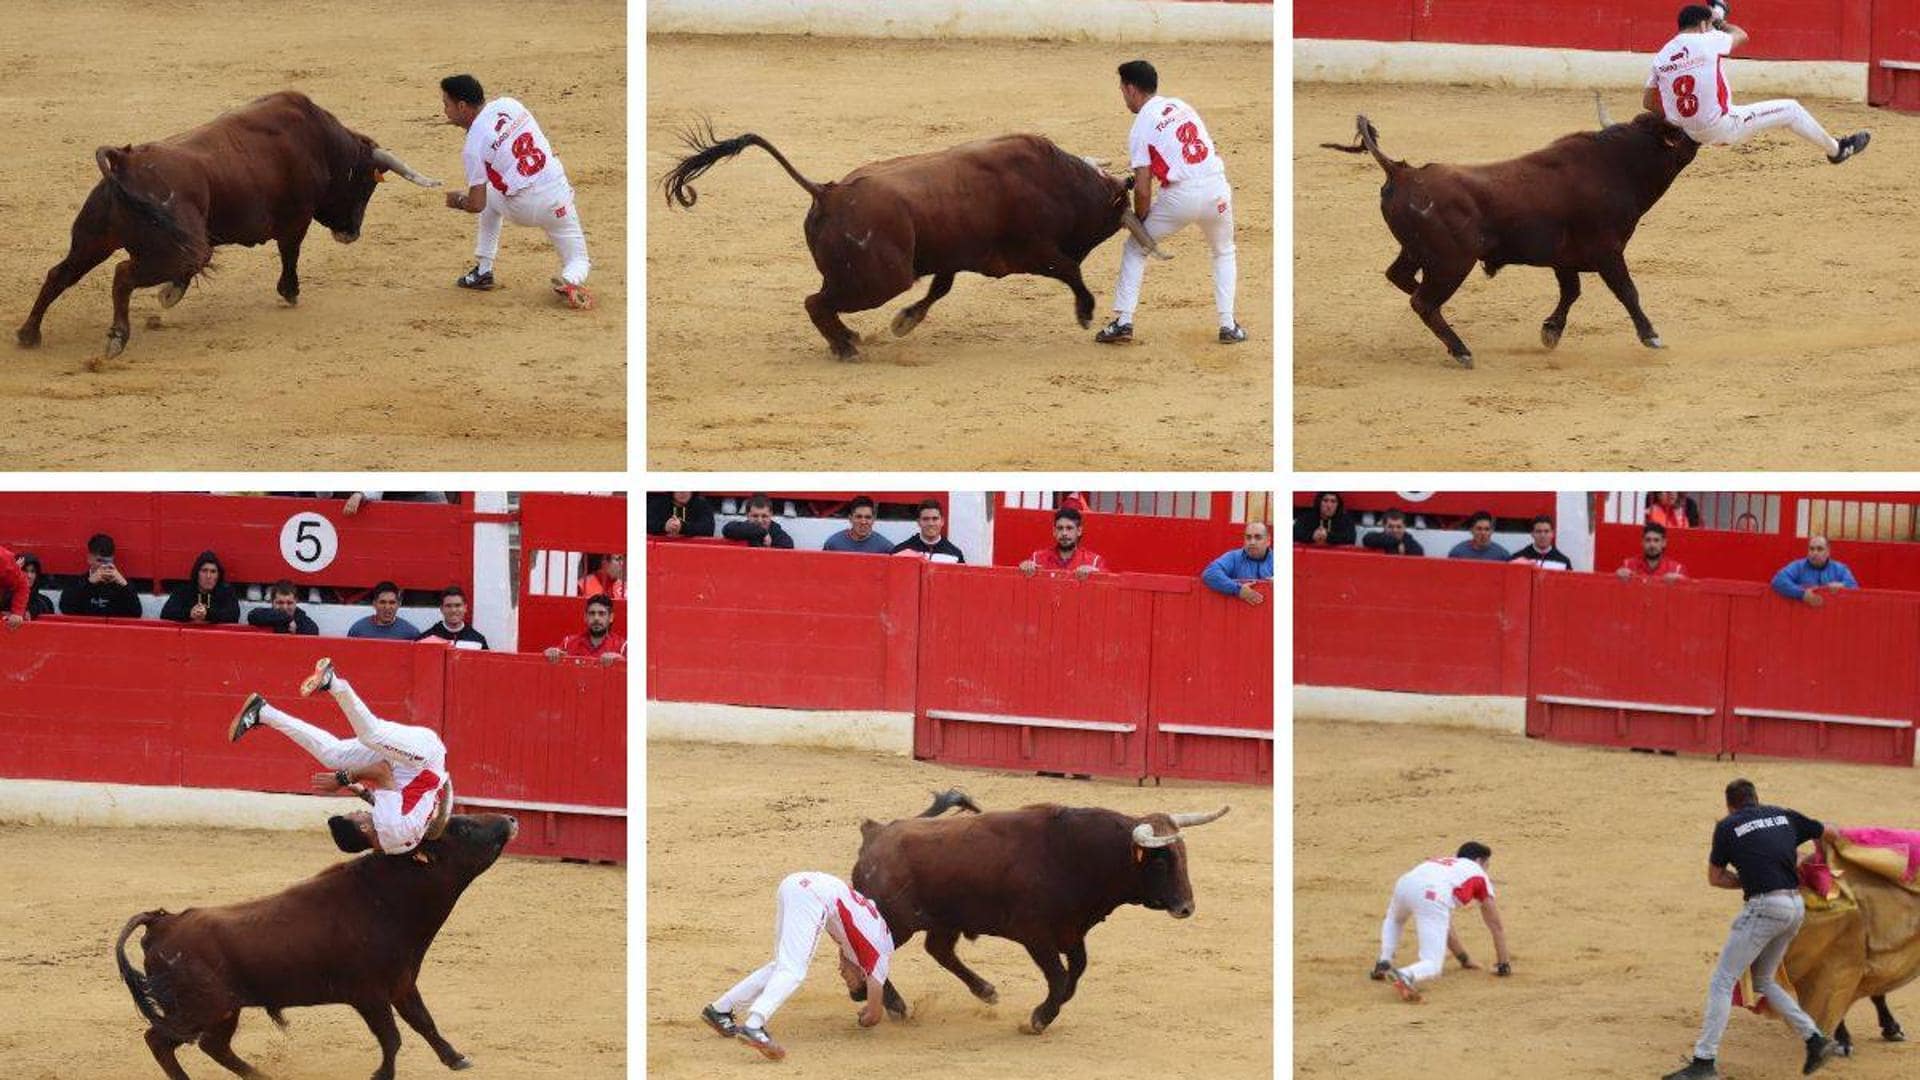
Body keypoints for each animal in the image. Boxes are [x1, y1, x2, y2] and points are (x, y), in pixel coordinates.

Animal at [18, 90, 439, 359]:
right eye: (367, 184)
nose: (351, 233)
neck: (320, 143)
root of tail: (125, 160)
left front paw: (170, 294)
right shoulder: (296, 218)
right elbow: (291, 252)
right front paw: (289, 292)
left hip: (94, 240)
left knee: (59, 274)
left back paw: (28, 333)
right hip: (163, 249)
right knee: (123, 274)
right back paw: (117, 337)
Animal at [116, 810, 514, 1068]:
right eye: (462, 827)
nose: (509, 820)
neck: (387, 898)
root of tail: (163, 922)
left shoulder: (402, 984)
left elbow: (424, 1023)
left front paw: (456, 1059)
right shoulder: (369, 995)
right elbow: (393, 1039)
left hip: (224, 1010)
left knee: (214, 1047)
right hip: (200, 1009)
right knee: (159, 1041)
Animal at [660, 122, 1167, 357]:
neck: (1059, 184)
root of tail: (828, 190)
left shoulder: (953, 257)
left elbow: (939, 289)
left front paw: (905, 321)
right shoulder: (1031, 251)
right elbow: (1070, 270)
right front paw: (1085, 312)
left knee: (823, 300)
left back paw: (847, 338)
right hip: (880, 279)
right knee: (815, 300)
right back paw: (846, 346)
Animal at [852, 787, 1228, 1030]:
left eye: (1183, 857)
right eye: (1161, 861)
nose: (1186, 907)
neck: (1078, 854)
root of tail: (876, 834)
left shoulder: (1072, 930)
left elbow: (1076, 971)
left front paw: (1050, 1008)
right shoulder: (1035, 935)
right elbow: (1059, 976)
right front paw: (1039, 1018)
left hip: (945, 920)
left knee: (939, 950)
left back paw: (985, 991)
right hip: (896, 923)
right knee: (869, 952)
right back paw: (887, 1003)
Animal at [1320, 110, 1697, 365]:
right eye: (1679, 132)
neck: (1618, 165)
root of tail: (1402, 171)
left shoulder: (1565, 257)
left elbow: (1571, 292)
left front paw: (1551, 331)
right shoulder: (1607, 250)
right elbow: (1627, 292)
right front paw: (1651, 336)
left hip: (1417, 252)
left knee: (1402, 279)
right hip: (1451, 261)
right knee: (1423, 302)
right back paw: (1461, 351)